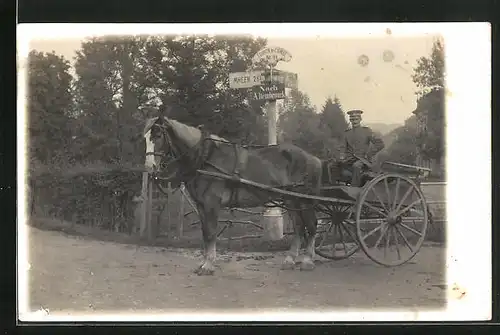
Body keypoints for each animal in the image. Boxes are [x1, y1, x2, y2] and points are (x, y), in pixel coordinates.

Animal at [143, 114, 322, 276]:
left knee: (312, 225)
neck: (205, 157)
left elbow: (211, 233)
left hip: (304, 200)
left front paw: (208, 265)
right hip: (291, 200)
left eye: (158, 136)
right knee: (299, 227)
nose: (149, 167)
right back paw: (290, 260)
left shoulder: (211, 204)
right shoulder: (201, 205)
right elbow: (205, 233)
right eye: (145, 138)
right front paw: (203, 263)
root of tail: (313, 159)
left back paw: (307, 260)